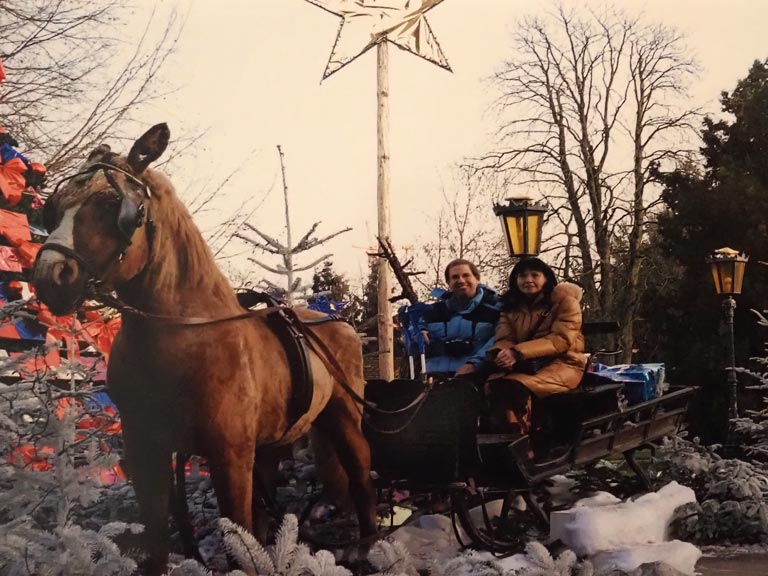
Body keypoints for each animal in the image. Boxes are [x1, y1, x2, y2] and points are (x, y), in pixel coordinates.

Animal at [32, 124, 378, 572]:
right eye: (54, 208)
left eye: (111, 203)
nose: (50, 276)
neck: (181, 335)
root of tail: (337, 323)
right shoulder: (146, 452)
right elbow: (159, 535)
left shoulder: (228, 455)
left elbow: (237, 537)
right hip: (271, 442)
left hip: (343, 416)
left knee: (359, 473)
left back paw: (368, 542)